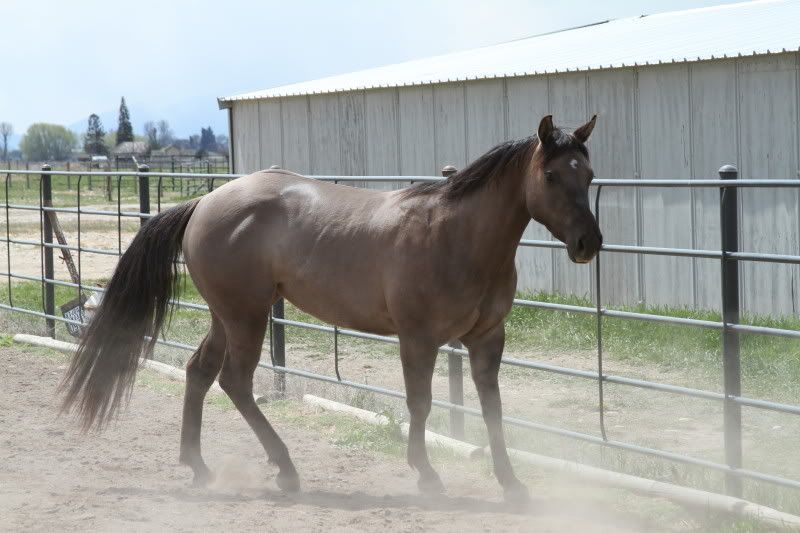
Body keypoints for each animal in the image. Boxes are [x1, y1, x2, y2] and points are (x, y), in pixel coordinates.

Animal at [61, 114, 602, 503]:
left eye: (590, 174)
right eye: (550, 174)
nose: (588, 243)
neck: (456, 235)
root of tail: (204, 203)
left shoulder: (488, 340)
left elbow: (493, 409)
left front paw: (512, 484)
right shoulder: (419, 339)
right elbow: (421, 403)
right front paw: (426, 475)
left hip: (226, 316)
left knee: (199, 373)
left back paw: (200, 468)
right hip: (247, 317)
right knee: (235, 382)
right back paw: (286, 470)